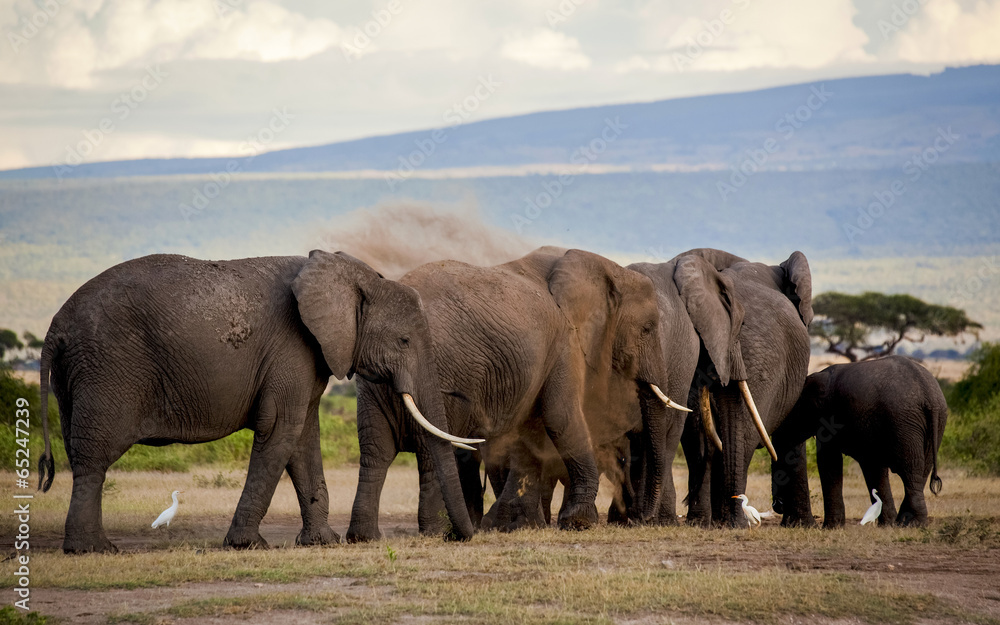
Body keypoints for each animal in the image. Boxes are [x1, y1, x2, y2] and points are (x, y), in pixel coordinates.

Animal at [37, 250, 478, 553]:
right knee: (93, 457)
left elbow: (302, 440)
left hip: (79, 375)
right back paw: (94, 550)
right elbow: (280, 429)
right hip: (106, 368)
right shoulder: (292, 347)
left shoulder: (309, 356)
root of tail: (55, 327)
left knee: (83, 453)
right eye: (403, 340)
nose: (461, 537)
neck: (350, 276)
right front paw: (247, 545)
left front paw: (322, 542)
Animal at [346, 247, 680, 541]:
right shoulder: (564, 342)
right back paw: (440, 531)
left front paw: (515, 523)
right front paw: (578, 521)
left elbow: (532, 427)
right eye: (648, 328)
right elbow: (561, 417)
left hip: (375, 383)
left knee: (376, 451)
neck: (598, 266)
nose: (642, 519)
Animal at [781, 355, 947, 527]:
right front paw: (886, 525)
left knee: (911, 470)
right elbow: (873, 467)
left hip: (904, 423)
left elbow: (829, 460)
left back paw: (912, 523)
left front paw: (831, 528)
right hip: (932, 422)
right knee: (923, 470)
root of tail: (928, 395)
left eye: (793, 410)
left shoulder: (829, 416)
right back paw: (905, 522)